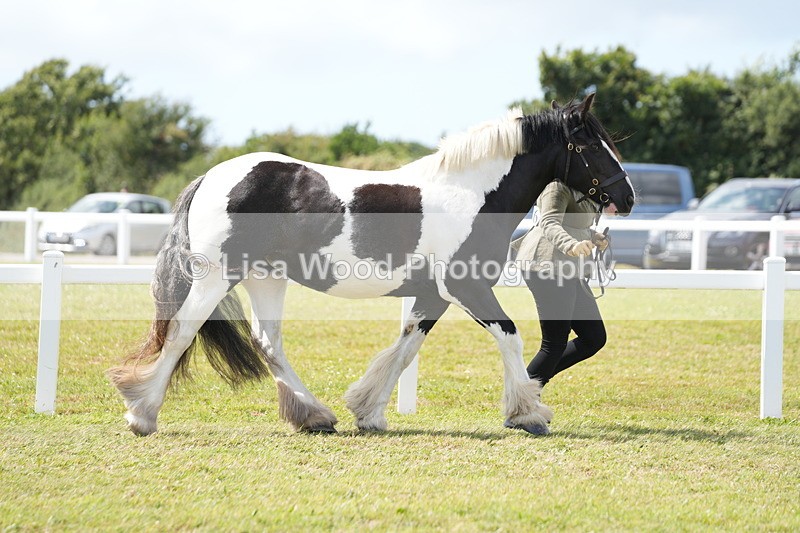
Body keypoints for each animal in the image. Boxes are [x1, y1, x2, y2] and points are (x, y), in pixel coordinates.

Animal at [109, 92, 635, 437]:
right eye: (591, 146)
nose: (627, 197)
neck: (471, 196)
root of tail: (212, 177)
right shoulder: (466, 289)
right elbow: (509, 336)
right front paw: (528, 413)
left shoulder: (433, 295)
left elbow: (404, 348)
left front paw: (368, 412)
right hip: (219, 275)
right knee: (182, 331)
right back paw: (142, 414)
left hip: (265, 277)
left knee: (268, 340)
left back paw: (316, 416)